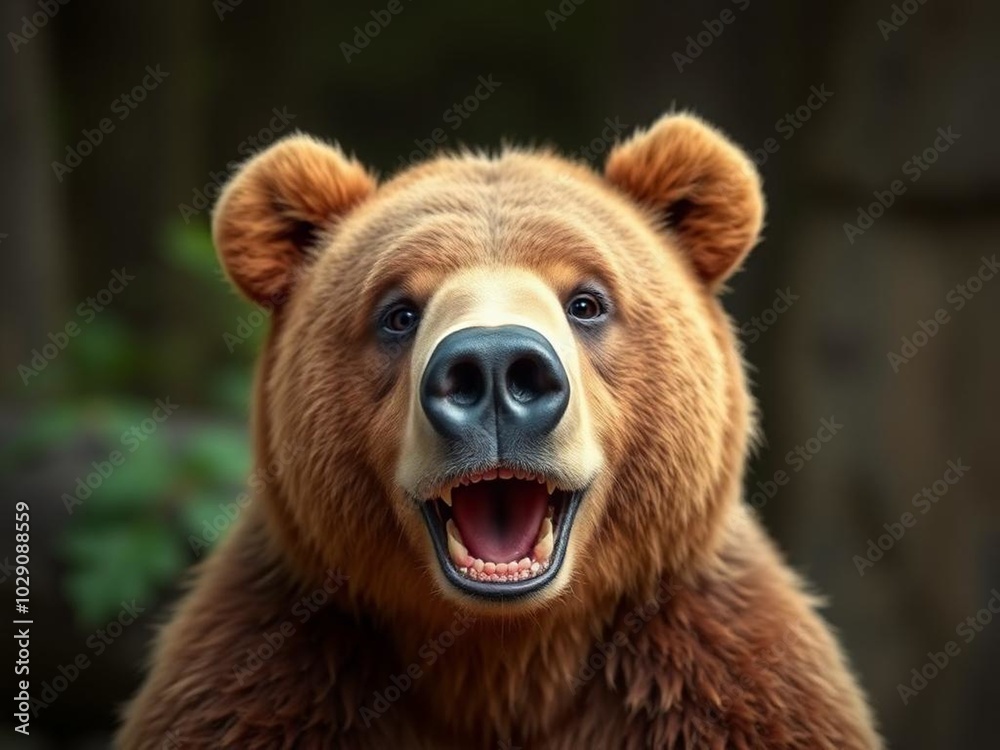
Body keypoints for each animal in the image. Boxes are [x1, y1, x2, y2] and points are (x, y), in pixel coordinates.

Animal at [118, 113, 881, 749]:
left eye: (587, 301)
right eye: (398, 311)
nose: (492, 368)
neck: (504, 660)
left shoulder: (712, 682)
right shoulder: (277, 677)